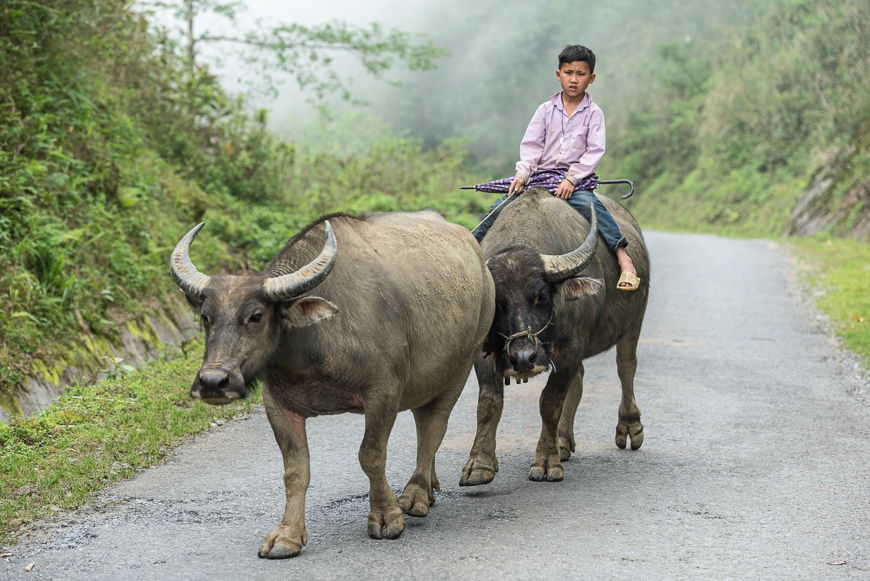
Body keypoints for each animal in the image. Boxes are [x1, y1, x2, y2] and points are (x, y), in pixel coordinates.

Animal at [172, 211, 498, 556]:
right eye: (206, 317)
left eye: (256, 316)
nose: (212, 382)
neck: (314, 342)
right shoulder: (277, 404)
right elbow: (295, 470)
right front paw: (287, 535)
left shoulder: (383, 393)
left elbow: (371, 456)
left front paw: (386, 516)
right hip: (427, 379)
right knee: (424, 424)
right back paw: (429, 487)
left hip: (462, 366)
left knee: (433, 429)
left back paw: (416, 495)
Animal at [460, 187, 652, 484]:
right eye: (497, 303)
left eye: (541, 296)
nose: (523, 358)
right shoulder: (486, 349)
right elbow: (489, 402)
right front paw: (479, 464)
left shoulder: (572, 345)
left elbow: (550, 401)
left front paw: (547, 462)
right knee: (579, 379)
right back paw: (563, 441)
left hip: (634, 321)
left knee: (626, 367)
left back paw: (630, 428)